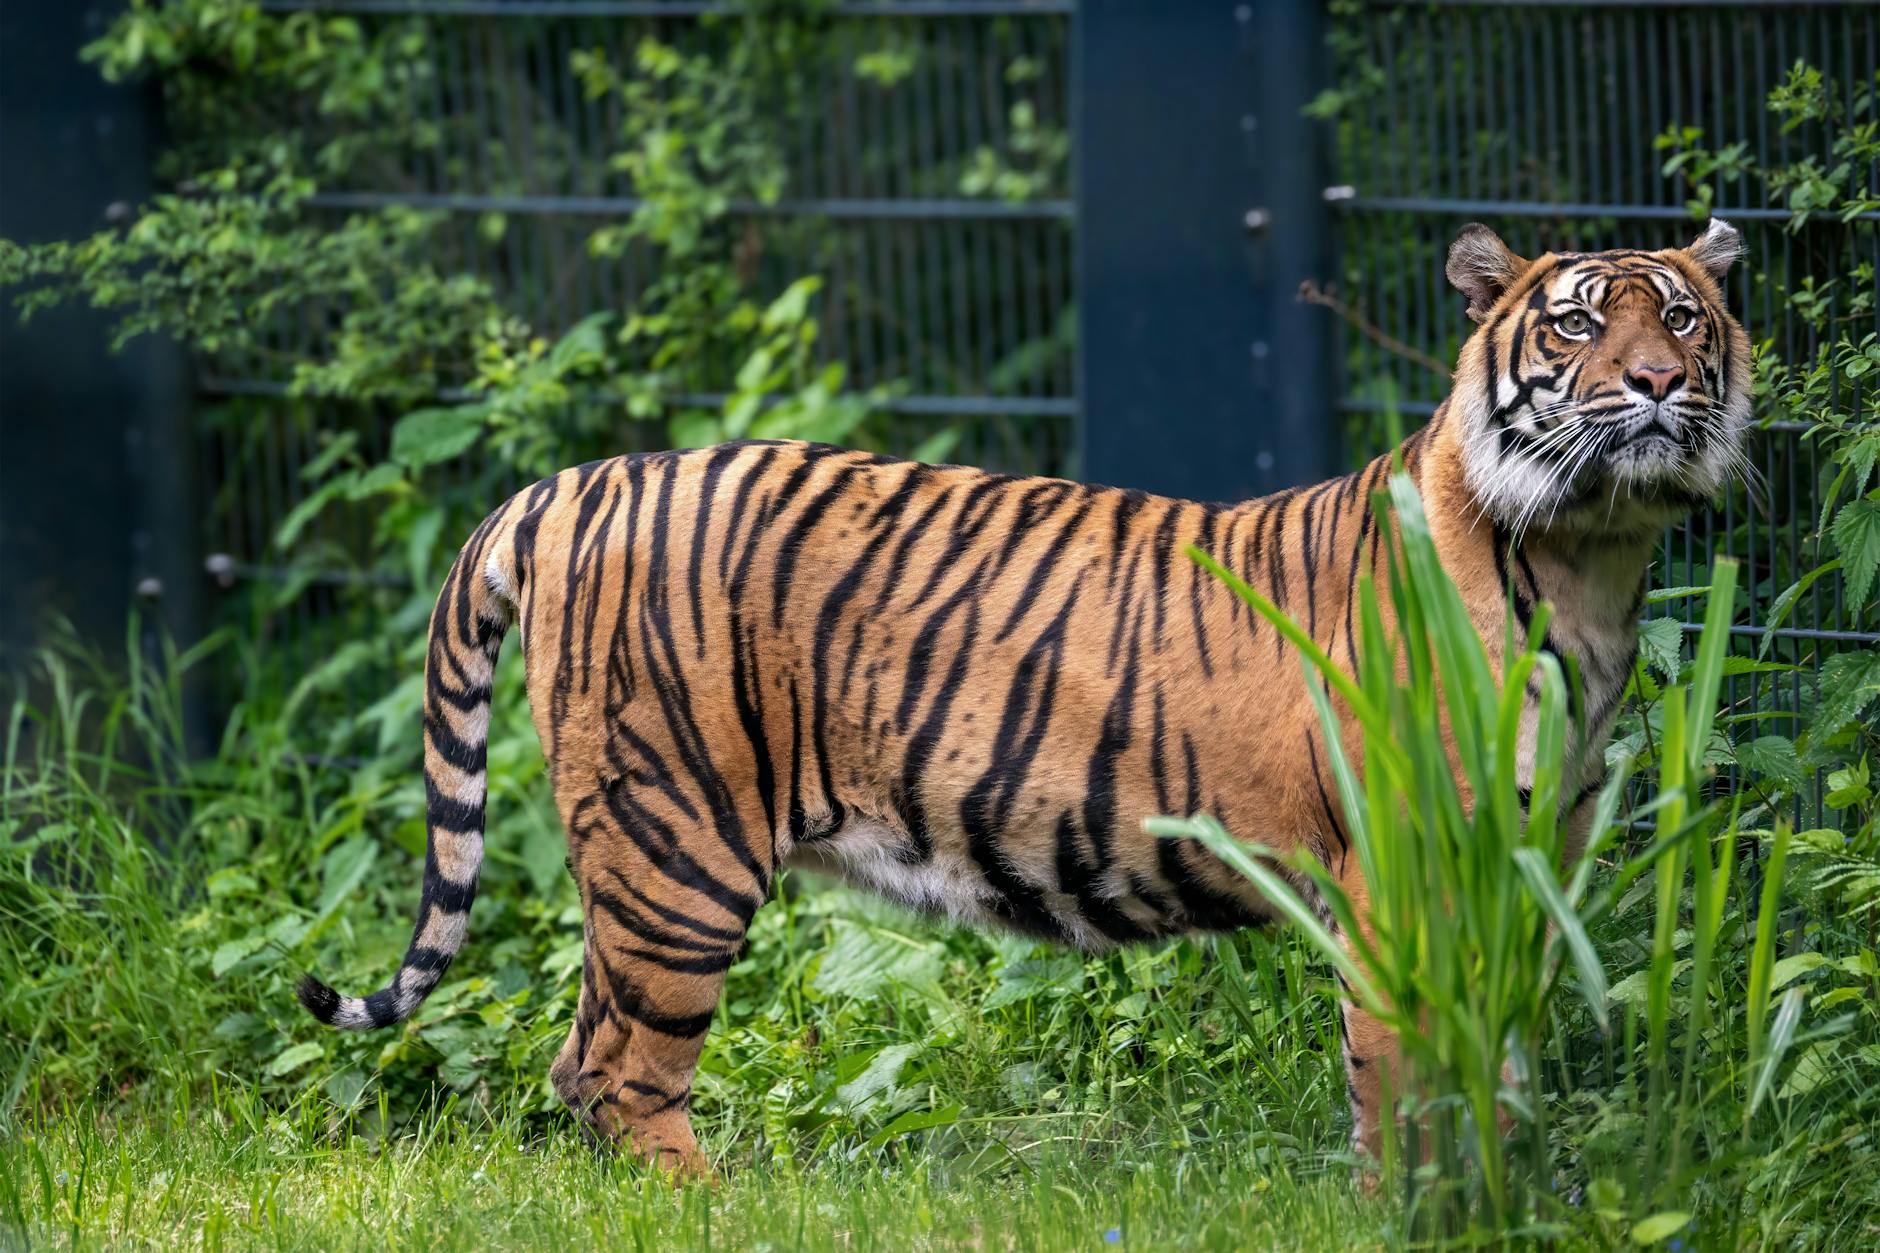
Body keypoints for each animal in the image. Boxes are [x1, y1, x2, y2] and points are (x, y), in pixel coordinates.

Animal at [298, 220, 1751, 1175]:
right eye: (1577, 323)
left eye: (1681, 318)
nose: (1655, 384)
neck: (1590, 555)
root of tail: (576, 480)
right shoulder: (1401, 870)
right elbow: (1405, 1070)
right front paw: (1424, 1200)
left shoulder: (1527, 855)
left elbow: (1498, 1054)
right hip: (676, 845)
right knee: (617, 1069)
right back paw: (711, 1202)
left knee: (582, 1059)